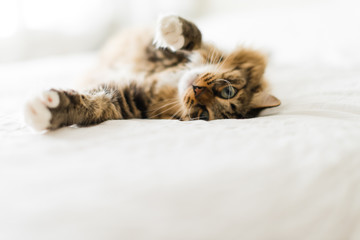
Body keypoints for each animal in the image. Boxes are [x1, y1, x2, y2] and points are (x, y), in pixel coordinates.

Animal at [24, 14, 282, 131]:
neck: (173, 81)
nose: (196, 90)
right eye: (228, 92)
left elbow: (90, 106)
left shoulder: (125, 99)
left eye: (202, 116)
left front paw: (46, 111)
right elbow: (194, 42)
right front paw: (174, 29)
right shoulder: (164, 53)